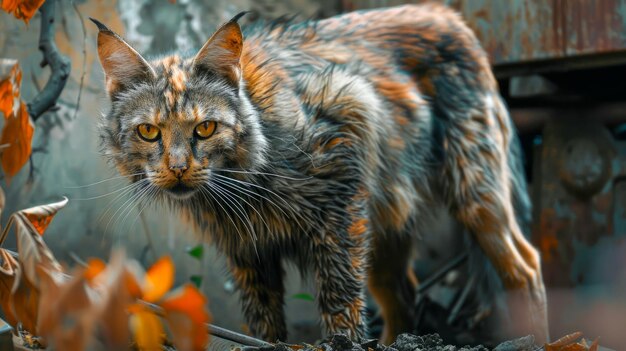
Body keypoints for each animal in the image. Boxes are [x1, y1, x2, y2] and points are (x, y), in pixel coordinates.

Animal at [91, 4, 544, 346]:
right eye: (149, 132)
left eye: (205, 128)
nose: (179, 169)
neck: (246, 185)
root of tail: (448, 15)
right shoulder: (245, 248)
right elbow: (264, 321)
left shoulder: (346, 152)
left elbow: (340, 299)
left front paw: (342, 339)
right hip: (385, 223)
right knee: (404, 294)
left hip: (473, 189)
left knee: (525, 264)